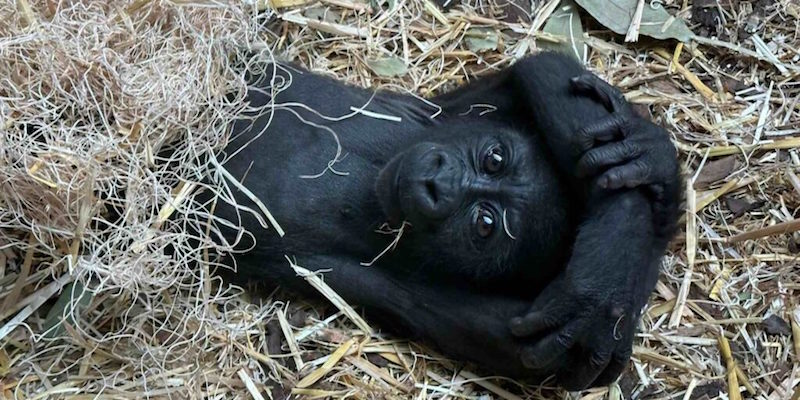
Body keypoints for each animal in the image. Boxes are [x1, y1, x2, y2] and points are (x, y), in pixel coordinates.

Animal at [209, 51, 680, 390]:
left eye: (485, 224)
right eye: (494, 159)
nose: (437, 181)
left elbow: (536, 353)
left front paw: (603, 287)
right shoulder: (449, 112)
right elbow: (538, 71)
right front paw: (640, 182)